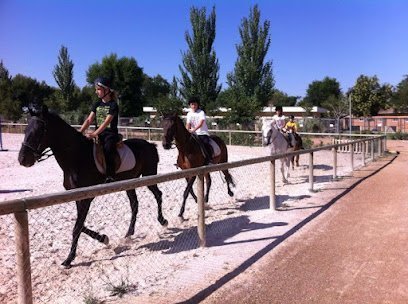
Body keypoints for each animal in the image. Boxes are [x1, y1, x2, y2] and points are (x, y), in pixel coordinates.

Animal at [18, 102, 168, 268]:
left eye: (39, 131)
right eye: (25, 130)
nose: (22, 159)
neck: (77, 157)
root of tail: (150, 145)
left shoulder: (86, 198)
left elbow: (77, 227)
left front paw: (69, 259)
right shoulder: (77, 196)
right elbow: (80, 224)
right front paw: (103, 238)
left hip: (149, 177)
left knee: (158, 194)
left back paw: (163, 221)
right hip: (129, 182)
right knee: (134, 204)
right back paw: (129, 233)